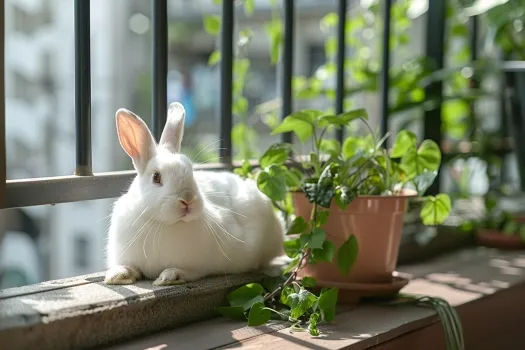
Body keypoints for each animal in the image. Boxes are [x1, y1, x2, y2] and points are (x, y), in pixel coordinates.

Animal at [105, 102, 284, 286]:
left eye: (191, 171)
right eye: (156, 177)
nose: (187, 200)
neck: (163, 223)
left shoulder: (198, 267)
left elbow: (188, 272)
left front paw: (169, 276)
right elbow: (128, 266)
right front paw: (118, 275)